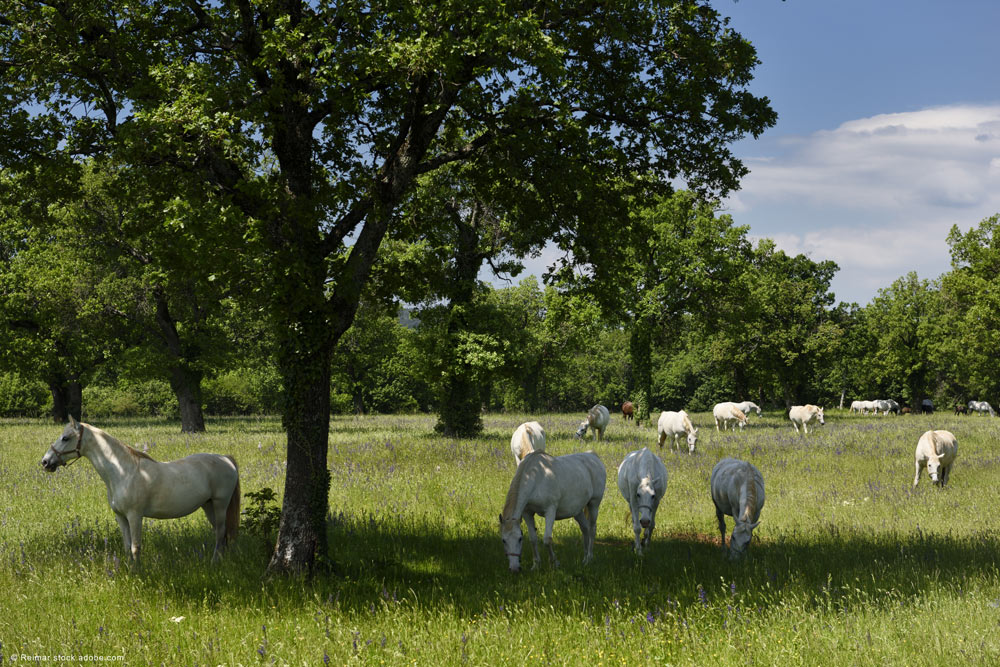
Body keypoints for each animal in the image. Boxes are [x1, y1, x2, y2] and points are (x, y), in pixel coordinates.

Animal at [41, 418, 242, 564]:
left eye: (65, 438)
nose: (45, 462)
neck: (123, 472)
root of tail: (226, 459)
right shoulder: (121, 517)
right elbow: (126, 546)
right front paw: (129, 571)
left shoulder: (135, 516)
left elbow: (136, 547)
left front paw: (139, 573)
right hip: (208, 506)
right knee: (220, 534)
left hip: (220, 504)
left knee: (220, 532)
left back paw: (215, 562)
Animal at [498, 448, 604, 576]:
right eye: (504, 540)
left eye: (519, 539)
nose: (514, 569)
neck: (535, 477)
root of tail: (593, 456)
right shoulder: (527, 513)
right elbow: (533, 539)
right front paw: (536, 565)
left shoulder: (550, 510)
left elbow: (547, 540)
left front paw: (554, 563)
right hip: (577, 511)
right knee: (585, 529)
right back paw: (584, 559)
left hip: (594, 504)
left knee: (592, 529)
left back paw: (589, 558)